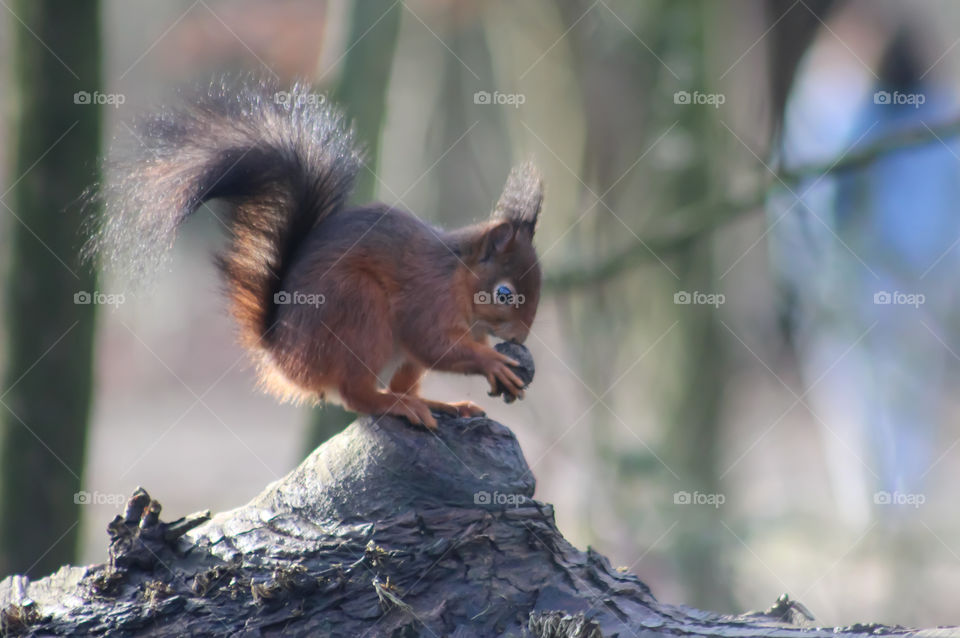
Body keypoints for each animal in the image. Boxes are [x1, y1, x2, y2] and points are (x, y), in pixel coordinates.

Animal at [86, 79, 544, 430]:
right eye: (504, 293)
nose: (520, 339)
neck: (457, 277)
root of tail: (285, 357)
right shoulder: (427, 296)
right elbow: (434, 343)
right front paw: (492, 362)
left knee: (396, 382)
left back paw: (433, 403)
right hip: (359, 309)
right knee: (356, 395)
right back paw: (395, 405)